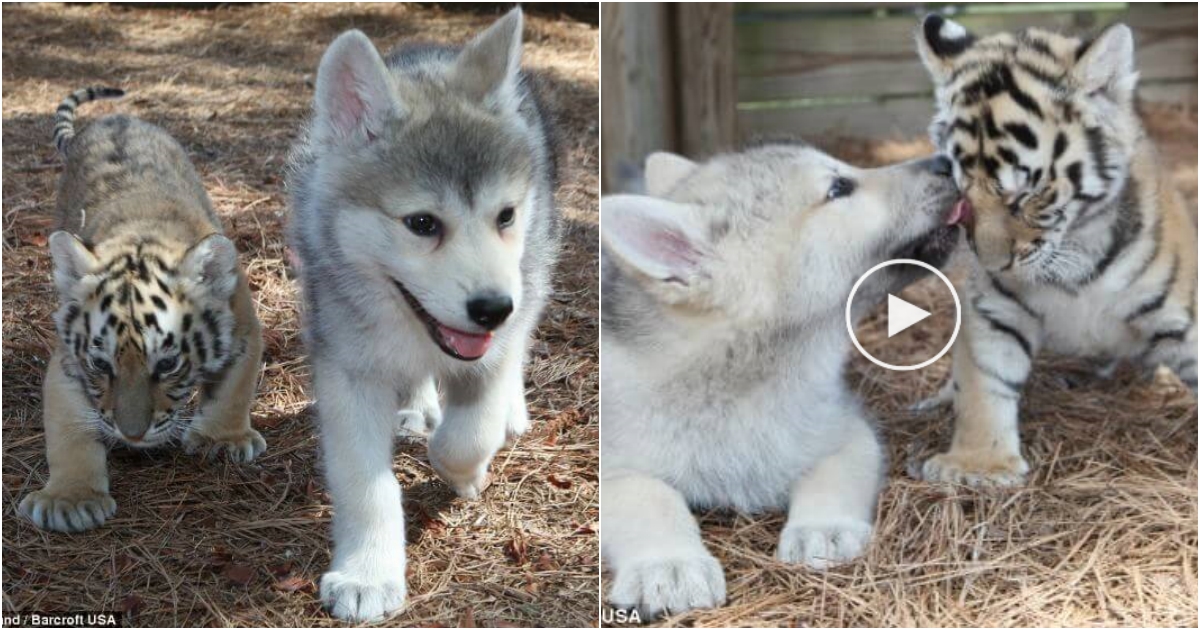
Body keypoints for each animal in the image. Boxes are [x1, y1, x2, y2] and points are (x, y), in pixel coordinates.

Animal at [19, 87, 267, 530]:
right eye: (101, 365)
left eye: (167, 364)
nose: (132, 435)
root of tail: (112, 117)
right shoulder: (68, 363)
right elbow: (68, 430)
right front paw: (70, 499)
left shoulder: (243, 329)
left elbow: (235, 390)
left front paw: (223, 439)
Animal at [288, 8, 559, 619]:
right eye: (421, 224)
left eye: (505, 215)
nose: (492, 310)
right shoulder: (347, 370)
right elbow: (366, 483)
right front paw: (367, 576)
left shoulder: (496, 341)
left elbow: (467, 434)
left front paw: (467, 471)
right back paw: (416, 407)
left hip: (535, 270)